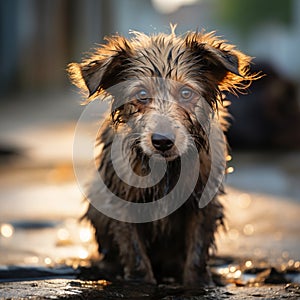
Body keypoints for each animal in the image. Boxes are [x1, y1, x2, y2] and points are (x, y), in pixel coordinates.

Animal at [68, 26, 258, 286]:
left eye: (186, 93)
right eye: (141, 94)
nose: (162, 141)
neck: (165, 169)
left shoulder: (204, 204)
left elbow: (196, 257)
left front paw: (198, 284)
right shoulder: (122, 204)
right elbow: (136, 257)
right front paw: (141, 283)